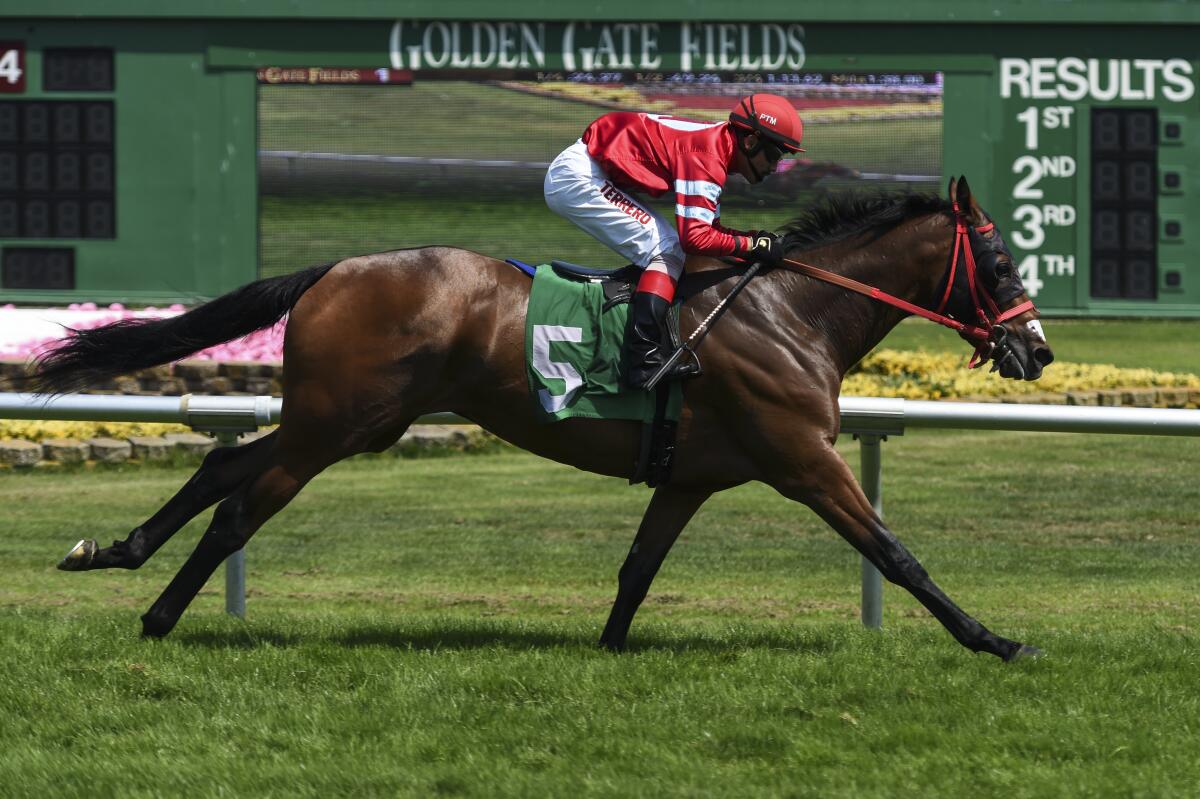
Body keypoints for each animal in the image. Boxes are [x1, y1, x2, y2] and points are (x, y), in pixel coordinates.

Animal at [32, 177, 1056, 657]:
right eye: (1001, 262)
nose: (1037, 350)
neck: (790, 310)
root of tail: (333, 268)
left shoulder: (691, 476)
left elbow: (639, 567)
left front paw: (607, 650)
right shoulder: (804, 460)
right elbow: (896, 552)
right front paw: (995, 638)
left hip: (355, 420)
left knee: (222, 466)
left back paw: (112, 554)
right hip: (339, 423)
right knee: (243, 506)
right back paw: (159, 614)